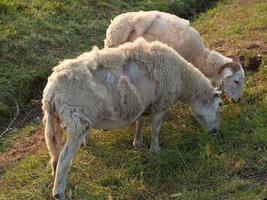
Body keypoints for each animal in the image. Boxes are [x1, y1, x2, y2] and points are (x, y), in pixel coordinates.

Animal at [43, 38, 223, 199]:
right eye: (220, 104)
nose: (215, 132)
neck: (183, 79)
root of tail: (51, 91)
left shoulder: (144, 104)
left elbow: (140, 123)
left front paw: (138, 143)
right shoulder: (160, 104)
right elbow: (156, 129)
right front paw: (155, 150)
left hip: (56, 120)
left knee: (55, 154)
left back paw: (54, 177)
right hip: (77, 121)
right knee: (64, 159)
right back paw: (59, 193)